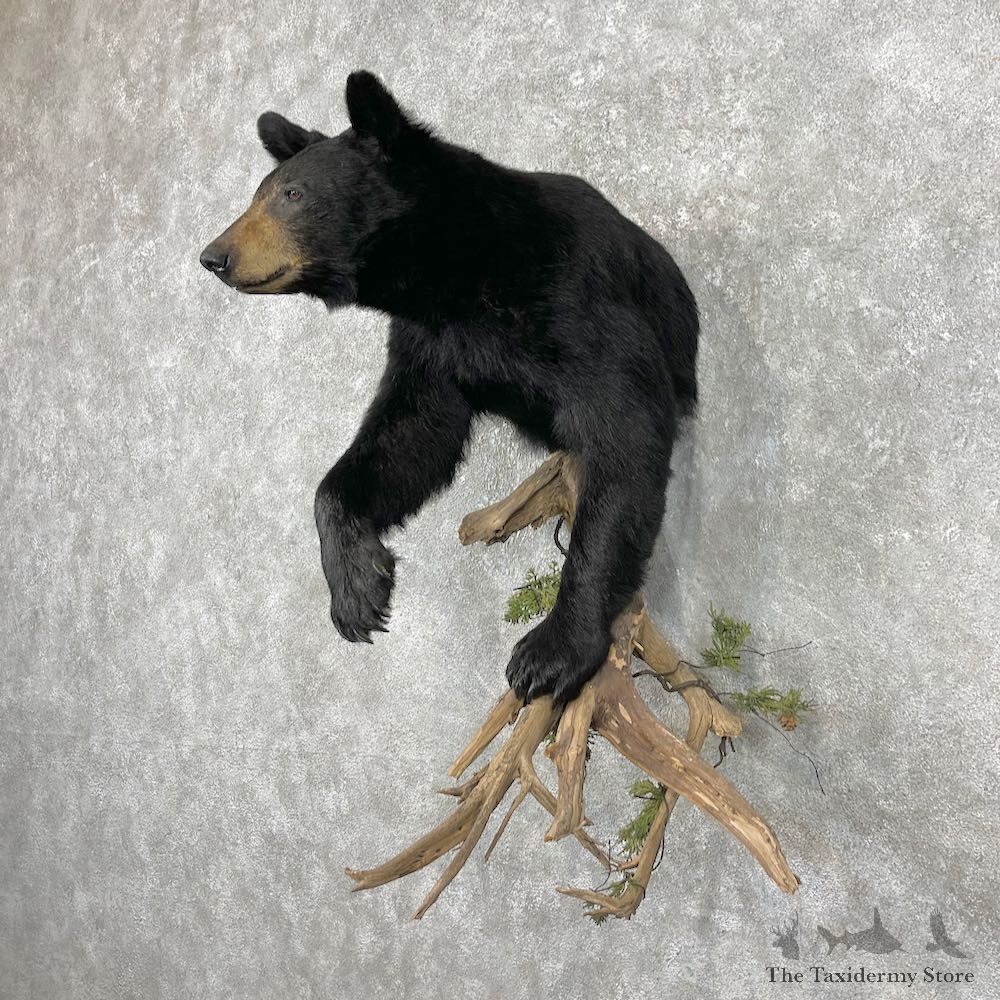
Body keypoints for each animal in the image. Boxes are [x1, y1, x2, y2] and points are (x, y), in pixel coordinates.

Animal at [200, 71, 699, 705]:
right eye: (258, 194)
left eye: (292, 194)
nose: (214, 255)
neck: (454, 273)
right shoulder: (431, 345)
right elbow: (411, 432)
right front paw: (358, 589)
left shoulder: (578, 302)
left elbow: (624, 435)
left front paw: (550, 652)